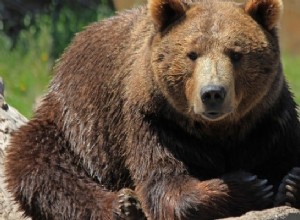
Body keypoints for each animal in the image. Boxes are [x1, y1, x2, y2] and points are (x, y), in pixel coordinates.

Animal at [3, 0, 300, 219]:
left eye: (236, 54)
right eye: (192, 54)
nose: (213, 93)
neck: (217, 131)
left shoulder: (269, 118)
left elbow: (285, 152)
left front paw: (290, 182)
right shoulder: (155, 121)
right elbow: (165, 183)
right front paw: (250, 186)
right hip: (73, 123)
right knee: (39, 163)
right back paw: (123, 205)